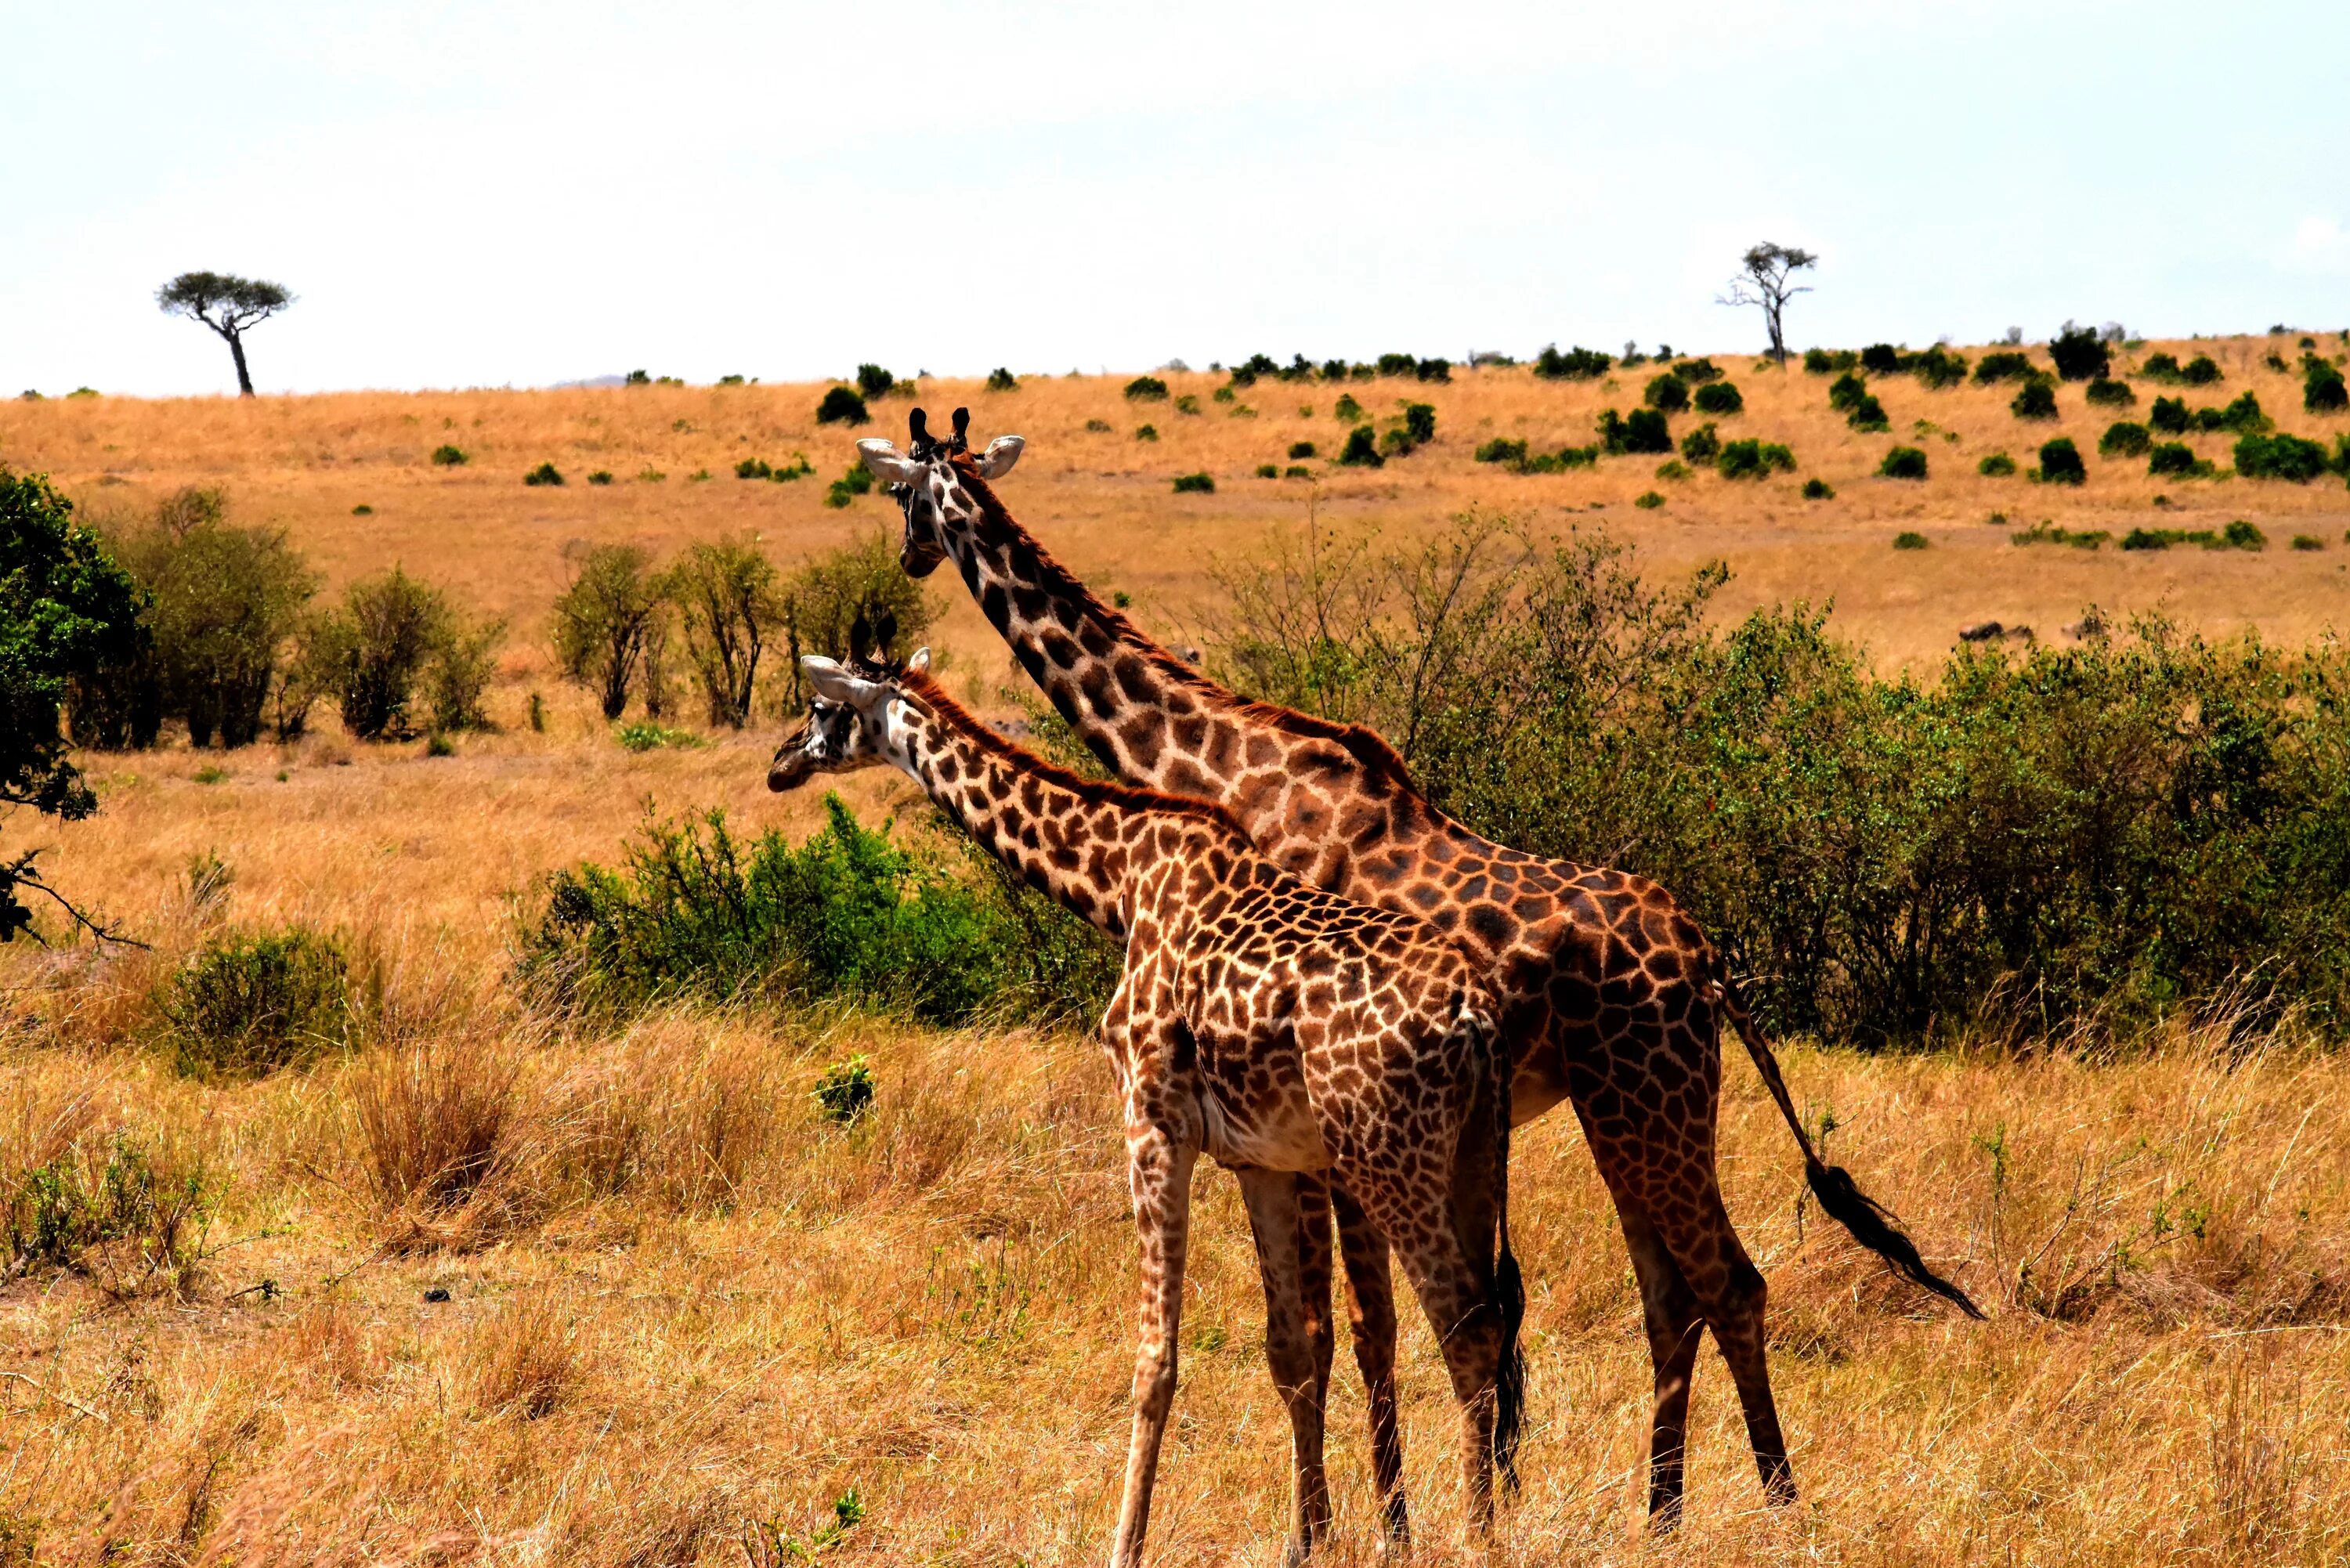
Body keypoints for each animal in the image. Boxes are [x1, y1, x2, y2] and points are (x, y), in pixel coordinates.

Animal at [771, 653, 1523, 1568]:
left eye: (821, 710)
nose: (781, 765)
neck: (1122, 880)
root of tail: (1478, 1013)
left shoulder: (1152, 1123)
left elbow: (1154, 1359)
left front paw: (1123, 1544)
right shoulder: (1261, 1159)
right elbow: (1289, 1349)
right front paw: (1303, 1540)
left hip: (1389, 1156)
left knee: (1465, 1325)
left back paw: (1482, 1537)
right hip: (1470, 1157)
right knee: (1491, 1316)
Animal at [855, 409, 1974, 1532]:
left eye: (901, 495)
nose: (907, 558)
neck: (1227, 769)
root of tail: (1704, 956)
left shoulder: (1315, 1123)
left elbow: (1359, 1329)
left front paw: (1387, 1522)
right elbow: (1379, 1327)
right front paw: (1410, 1510)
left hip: (1641, 1103)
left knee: (1726, 1284)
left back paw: (1776, 1505)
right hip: (1630, 1109)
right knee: (1670, 1293)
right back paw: (1660, 1515)